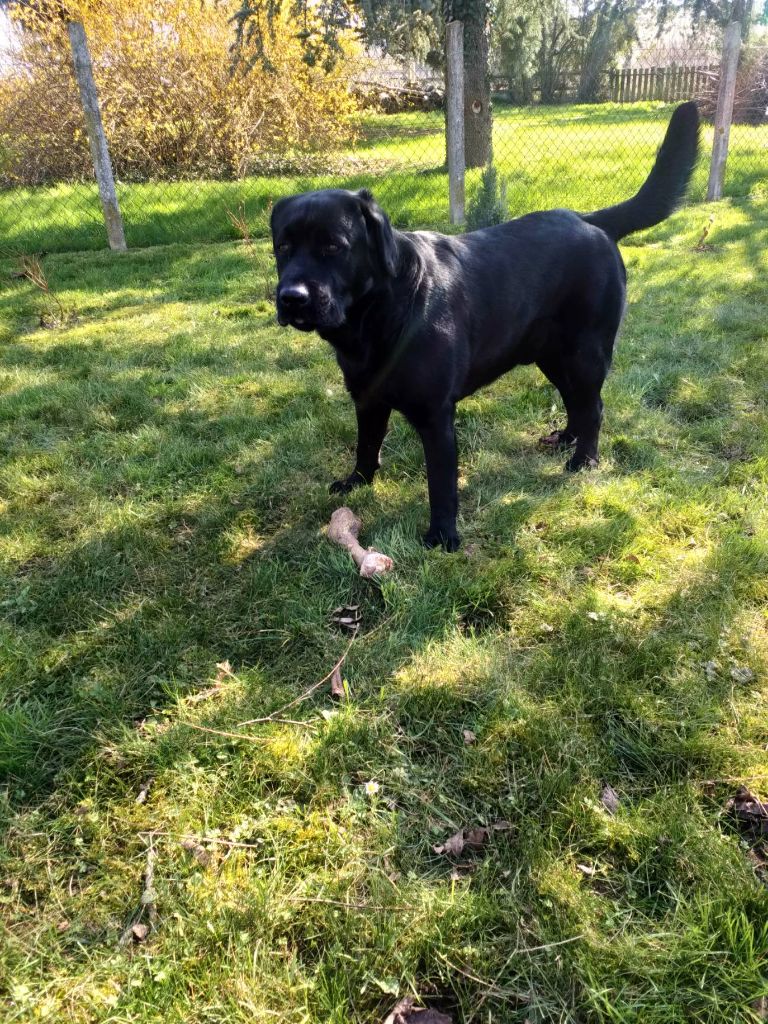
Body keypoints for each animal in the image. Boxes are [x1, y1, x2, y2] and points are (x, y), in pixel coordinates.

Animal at [272, 102, 704, 548]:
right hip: (552, 356)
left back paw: (584, 459)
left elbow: (441, 484)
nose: (291, 297)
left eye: (333, 246)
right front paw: (357, 482)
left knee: (594, 406)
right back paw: (566, 439)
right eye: (282, 247)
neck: (378, 315)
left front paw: (442, 536)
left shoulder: (436, 414)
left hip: (586, 353)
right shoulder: (367, 398)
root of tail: (591, 221)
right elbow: (366, 445)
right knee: (575, 401)